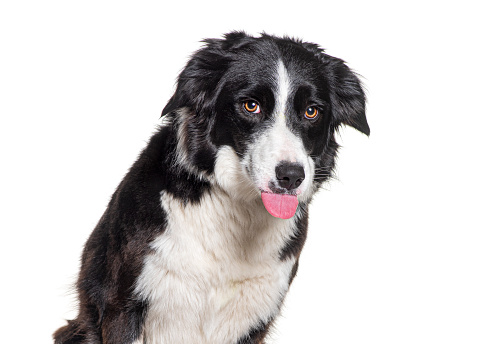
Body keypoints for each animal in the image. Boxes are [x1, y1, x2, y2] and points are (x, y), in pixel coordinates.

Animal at [53, 32, 368, 344]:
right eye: (250, 105)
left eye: (312, 111)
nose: (291, 176)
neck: (237, 212)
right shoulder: (123, 306)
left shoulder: (255, 317)